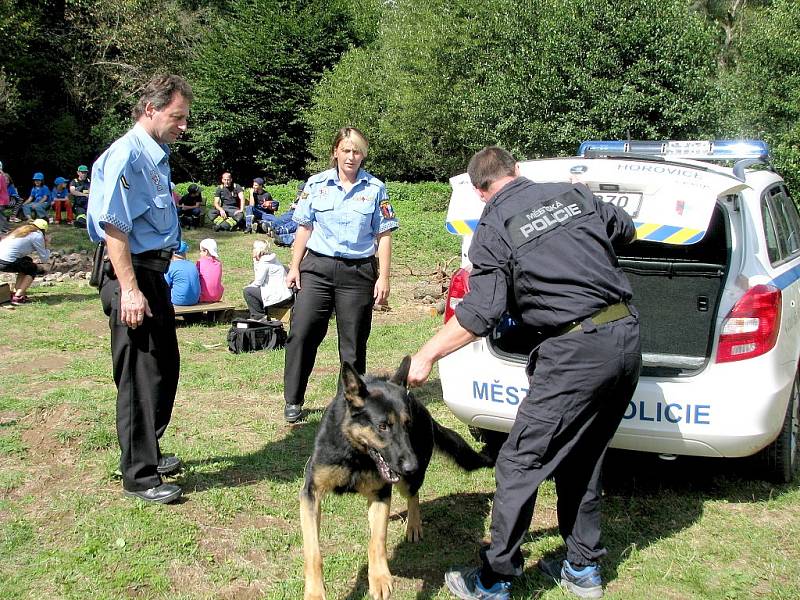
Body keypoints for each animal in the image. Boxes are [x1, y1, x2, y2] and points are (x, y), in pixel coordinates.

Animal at [300, 356, 494, 600]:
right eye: (382, 426)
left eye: (407, 424)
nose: (412, 466)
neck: (357, 453)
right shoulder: (310, 494)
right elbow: (313, 552)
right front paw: (315, 592)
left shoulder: (382, 494)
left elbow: (377, 540)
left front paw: (379, 577)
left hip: (405, 483)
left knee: (414, 496)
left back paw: (413, 525)